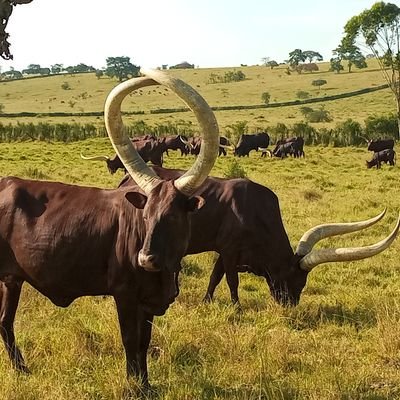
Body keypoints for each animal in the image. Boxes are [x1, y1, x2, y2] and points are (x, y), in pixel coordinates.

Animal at [0, 70, 219, 390]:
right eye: (145, 215)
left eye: (173, 217)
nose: (145, 259)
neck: (164, 271)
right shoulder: (124, 295)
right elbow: (130, 341)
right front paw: (134, 387)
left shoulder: (147, 303)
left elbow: (144, 343)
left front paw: (146, 386)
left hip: (11, 280)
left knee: (5, 322)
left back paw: (22, 370)